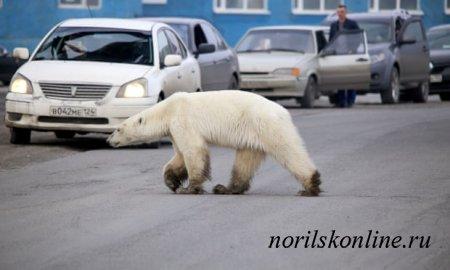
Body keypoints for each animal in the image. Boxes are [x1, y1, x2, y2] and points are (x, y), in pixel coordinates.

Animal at [107, 90, 322, 196]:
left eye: (118, 129)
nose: (109, 140)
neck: (168, 109)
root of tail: (283, 111)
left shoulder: (182, 119)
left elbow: (193, 151)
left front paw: (189, 188)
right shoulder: (174, 130)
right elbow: (179, 156)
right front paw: (172, 181)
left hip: (267, 125)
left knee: (288, 151)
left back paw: (310, 185)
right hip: (253, 136)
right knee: (245, 160)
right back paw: (226, 188)